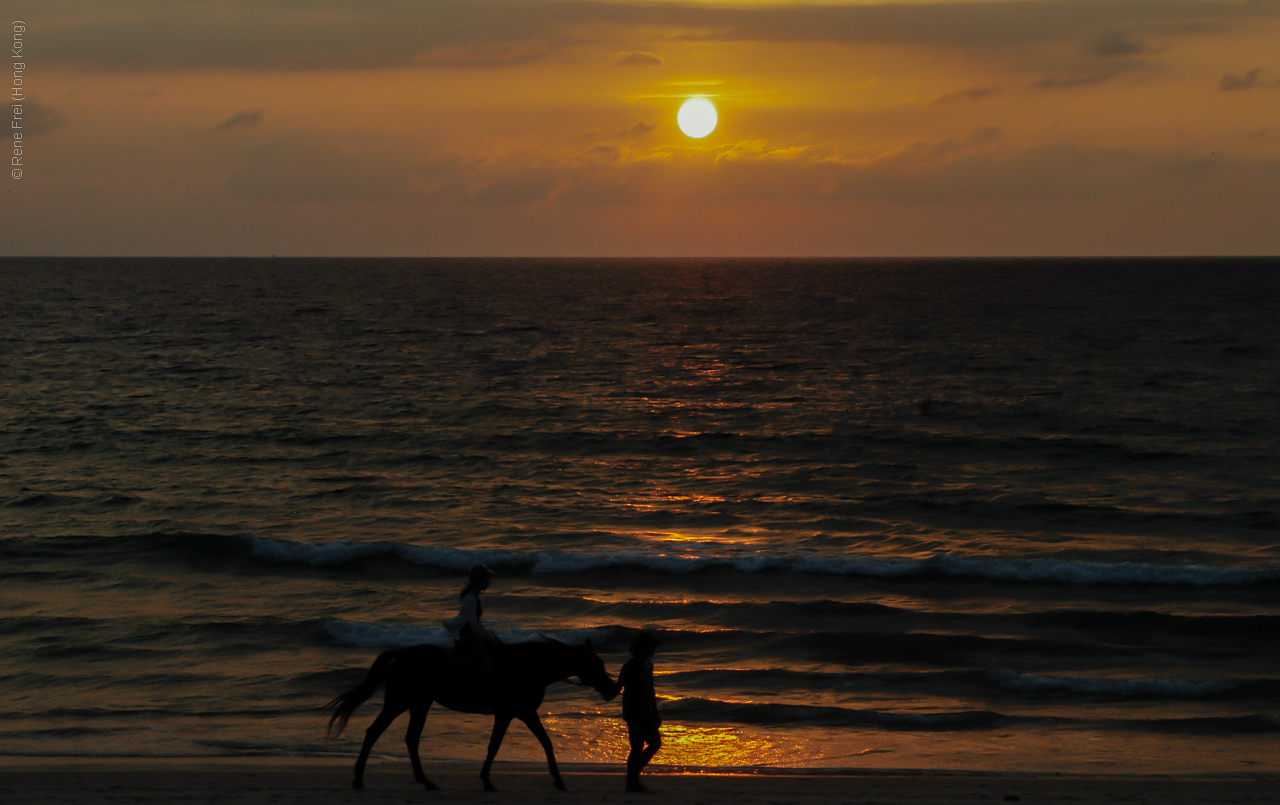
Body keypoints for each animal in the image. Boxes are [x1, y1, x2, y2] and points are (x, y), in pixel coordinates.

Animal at [325, 639, 614, 793]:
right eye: (595, 665)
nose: (613, 688)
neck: (529, 667)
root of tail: (402, 653)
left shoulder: (520, 713)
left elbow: (544, 742)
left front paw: (558, 779)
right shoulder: (513, 713)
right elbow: (497, 746)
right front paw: (487, 781)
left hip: (420, 703)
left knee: (411, 738)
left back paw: (425, 781)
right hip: (400, 702)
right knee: (375, 732)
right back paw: (359, 779)